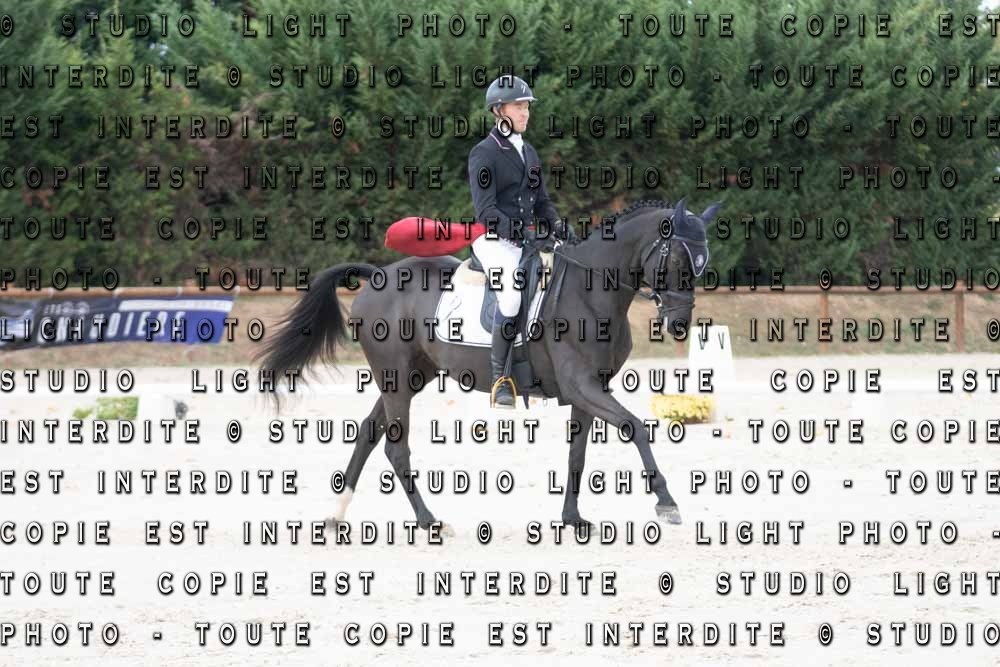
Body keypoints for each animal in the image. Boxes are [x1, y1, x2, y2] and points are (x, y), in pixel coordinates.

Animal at [253, 196, 719, 534]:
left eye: (701, 264)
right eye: (679, 260)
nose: (679, 325)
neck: (590, 291)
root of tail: (378, 275)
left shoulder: (589, 390)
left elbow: (578, 455)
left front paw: (571, 519)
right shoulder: (582, 386)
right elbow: (635, 427)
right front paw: (667, 502)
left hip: (411, 376)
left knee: (369, 433)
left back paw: (337, 514)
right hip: (397, 378)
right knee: (395, 447)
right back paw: (428, 521)